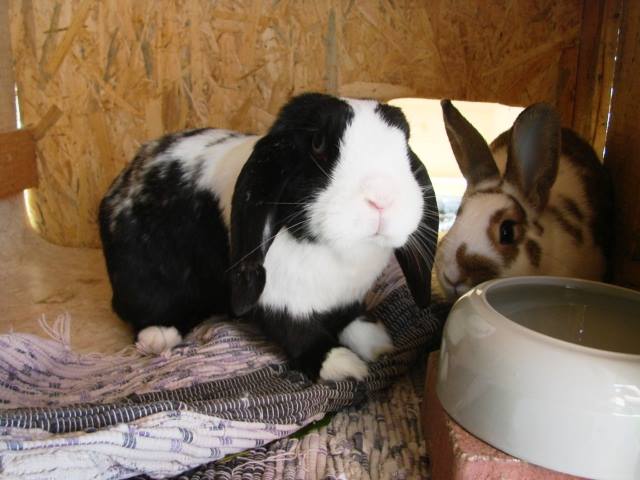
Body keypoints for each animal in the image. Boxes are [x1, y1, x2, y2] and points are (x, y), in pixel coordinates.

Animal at [99, 92, 439, 381]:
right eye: (318, 144)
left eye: (405, 145)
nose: (382, 197)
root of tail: (118, 187)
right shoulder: (279, 300)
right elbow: (297, 334)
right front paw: (342, 364)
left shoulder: (347, 298)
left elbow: (350, 317)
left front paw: (378, 343)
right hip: (141, 281)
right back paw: (158, 337)